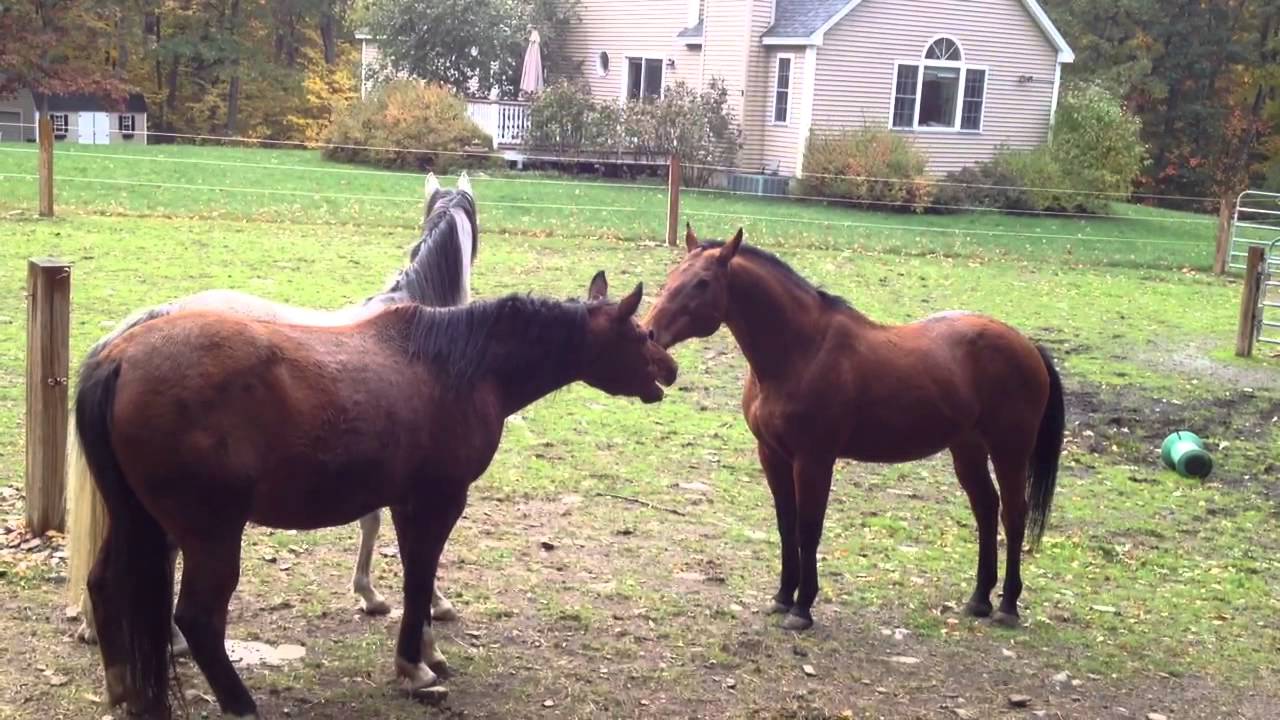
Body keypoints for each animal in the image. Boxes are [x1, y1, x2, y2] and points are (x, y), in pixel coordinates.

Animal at [78, 271, 677, 719]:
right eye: (642, 334)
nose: (671, 368)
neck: (460, 366)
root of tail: (120, 357)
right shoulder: (437, 501)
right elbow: (419, 580)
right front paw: (414, 666)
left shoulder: (407, 502)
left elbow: (419, 578)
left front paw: (425, 652)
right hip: (210, 534)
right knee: (199, 618)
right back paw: (240, 704)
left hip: (140, 520)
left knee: (104, 584)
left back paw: (123, 690)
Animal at [642, 224, 1065, 631]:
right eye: (672, 274)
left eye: (702, 282)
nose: (648, 334)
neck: (803, 351)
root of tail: (1028, 346)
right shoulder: (772, 455)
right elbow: (786, 525)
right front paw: (782, 597)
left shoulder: (813, 460)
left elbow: (809, 527)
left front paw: (802, 608)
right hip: (967, 448)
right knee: (986, 508)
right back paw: (979, 599)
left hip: (1010, 450)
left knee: (1013, 514)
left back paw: (1007, 606)